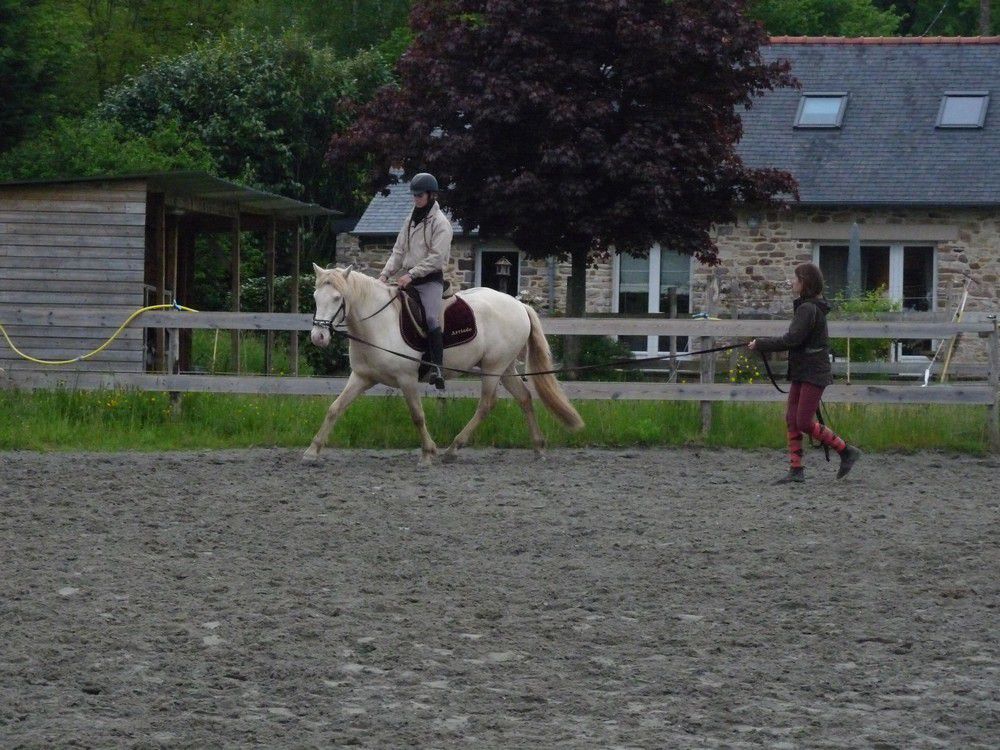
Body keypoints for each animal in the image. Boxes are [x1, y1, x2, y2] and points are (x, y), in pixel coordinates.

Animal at [304, 264, 584, 464]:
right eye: (316, 296)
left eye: (337, 298)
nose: (318, 337)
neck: (378, 323)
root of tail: (519, 305)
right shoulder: (361, 377)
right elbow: (334, 409)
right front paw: (313, 450)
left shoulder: (406, 379)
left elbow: (417, 416)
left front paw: (428, 453)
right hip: (505, 368)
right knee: (524, 398)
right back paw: (538, 446)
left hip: (493, 368)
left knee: (487, 404)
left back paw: (453, 448)